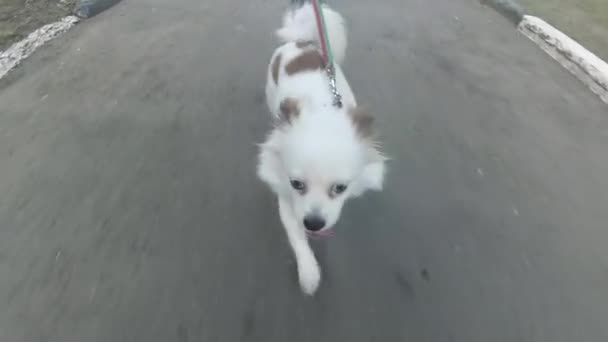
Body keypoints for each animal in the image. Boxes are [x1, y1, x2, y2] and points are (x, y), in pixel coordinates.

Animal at [256, 2, 384, 296]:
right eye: (296, 184)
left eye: (340, 188)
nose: (314, 222)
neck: (322, 110)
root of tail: (302, 41)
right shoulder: (286, 198)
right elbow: (296, 236)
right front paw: (309, 273)